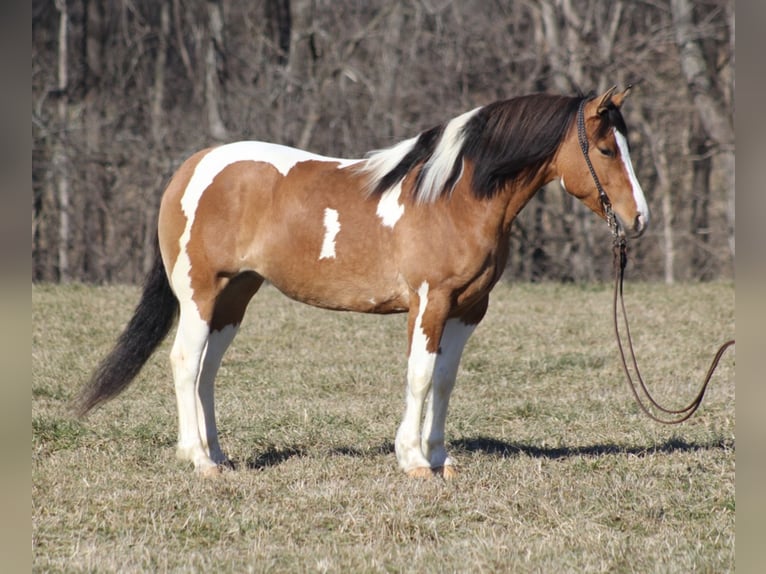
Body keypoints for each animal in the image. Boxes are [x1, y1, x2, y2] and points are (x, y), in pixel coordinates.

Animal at [76, 85, 648, 480]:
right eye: (605, 150)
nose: (638, 218)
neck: (453, 197)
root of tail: (190, 169)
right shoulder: (430, 304)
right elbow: (419, 376)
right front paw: (414, 461)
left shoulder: (468, 309)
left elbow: (445, 380)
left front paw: (441, 459)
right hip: (200, 291)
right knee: (183, 362)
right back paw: (200, 460)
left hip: (234, 296)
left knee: (206, 371)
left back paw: (218, 453)